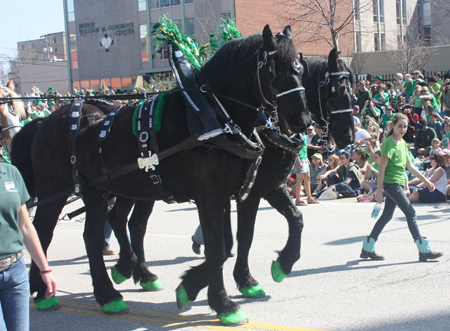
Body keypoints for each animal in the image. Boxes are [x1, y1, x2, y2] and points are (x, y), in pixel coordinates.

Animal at [11, 26, 312, 326]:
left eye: (301, 69)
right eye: (274, 69)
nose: (304, 121)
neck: (215, 114)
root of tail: (45, 120)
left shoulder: (241, 191)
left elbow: (256, 233)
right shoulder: (215, 195)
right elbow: (218, 247)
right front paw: (223, 303)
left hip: (100, 191)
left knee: (98, 235)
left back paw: (110, 293)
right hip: (55, 190)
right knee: (43, 231)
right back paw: (45, 292)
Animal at [103, 48, 356, 298]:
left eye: (352, 92)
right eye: (336, 90)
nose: (349, 136)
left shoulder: (269, 187)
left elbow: (295, 219)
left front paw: (282, 265)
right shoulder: (248, 191)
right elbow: (237, 237)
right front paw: (239, 279)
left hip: (142, 189)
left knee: (132, 224)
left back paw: (141, 273)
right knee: (122, 220)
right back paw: (129, 270)